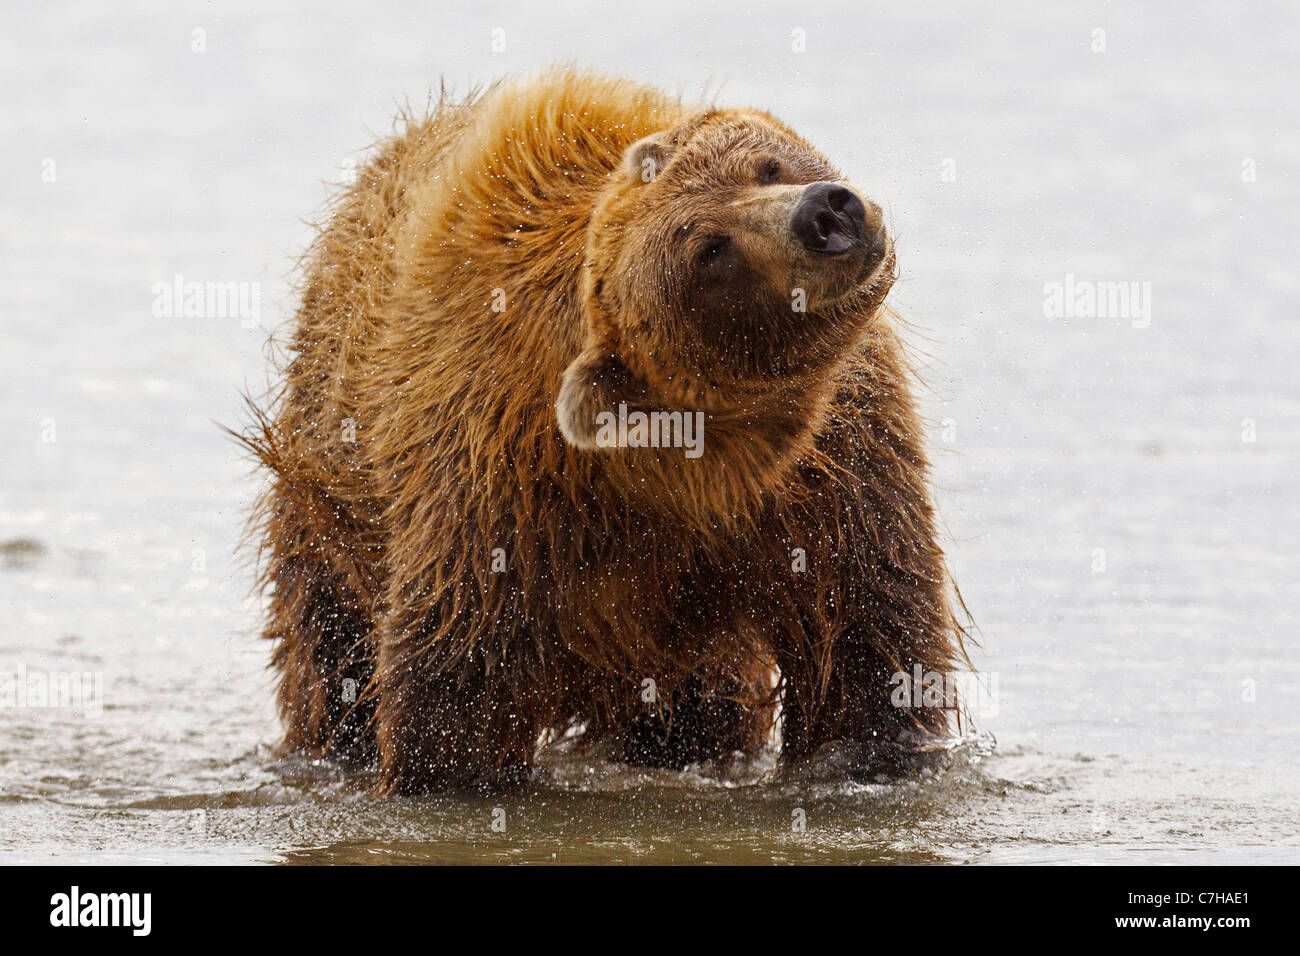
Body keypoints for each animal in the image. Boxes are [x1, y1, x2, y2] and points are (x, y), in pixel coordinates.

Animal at [244, 67, 972, 796]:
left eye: (768, 165)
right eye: (710, 251)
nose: (825, 212)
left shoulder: (838, 455)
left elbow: (865, 628)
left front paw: (880, 751)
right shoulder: (497, 483)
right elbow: (457, 681)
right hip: (326, 499)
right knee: (328, 645)